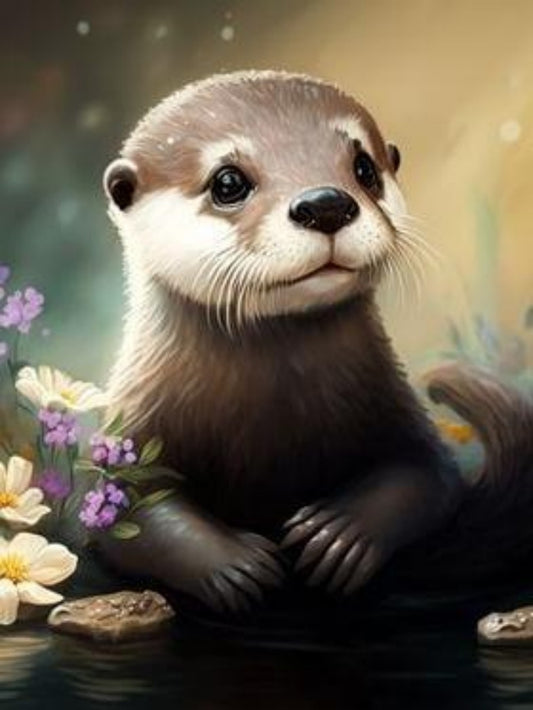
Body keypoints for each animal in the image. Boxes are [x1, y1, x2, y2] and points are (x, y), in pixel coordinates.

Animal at [98, 71, 532, 614]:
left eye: (364, 168)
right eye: (227, 182)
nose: (325, 203)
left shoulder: (394, 409)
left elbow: (427, 475)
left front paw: (339, 535)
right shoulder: (134, 427)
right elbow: (129, 516)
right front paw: (236, 563)